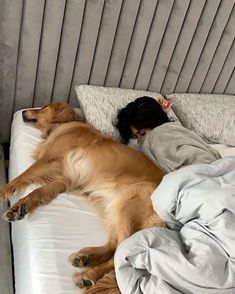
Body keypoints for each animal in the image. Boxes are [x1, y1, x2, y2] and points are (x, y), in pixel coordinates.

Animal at [0, 102, 165, 292]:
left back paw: (89, 275)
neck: (65, 125)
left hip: (128, 207)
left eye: (44, 107)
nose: (23, 113)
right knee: (113, 246)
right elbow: (37, 192)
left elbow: (20, 177)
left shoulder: (48, 160)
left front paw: (2, 193)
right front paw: (20, 207)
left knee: (120, 255)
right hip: (114, 210)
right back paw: (86, 257)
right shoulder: (64, 179)